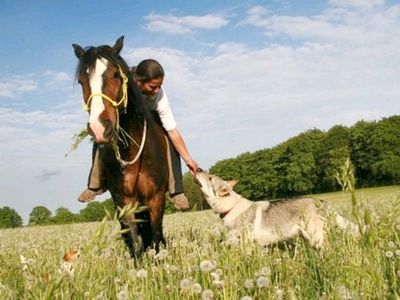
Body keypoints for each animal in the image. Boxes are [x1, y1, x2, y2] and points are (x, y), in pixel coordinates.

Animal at [72, 36, 169, 258]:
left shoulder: (156, 198)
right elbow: (134, 240)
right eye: (82, 81)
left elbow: (156, 235)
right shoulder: (124, 200)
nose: (99, 128)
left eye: (116, 75)